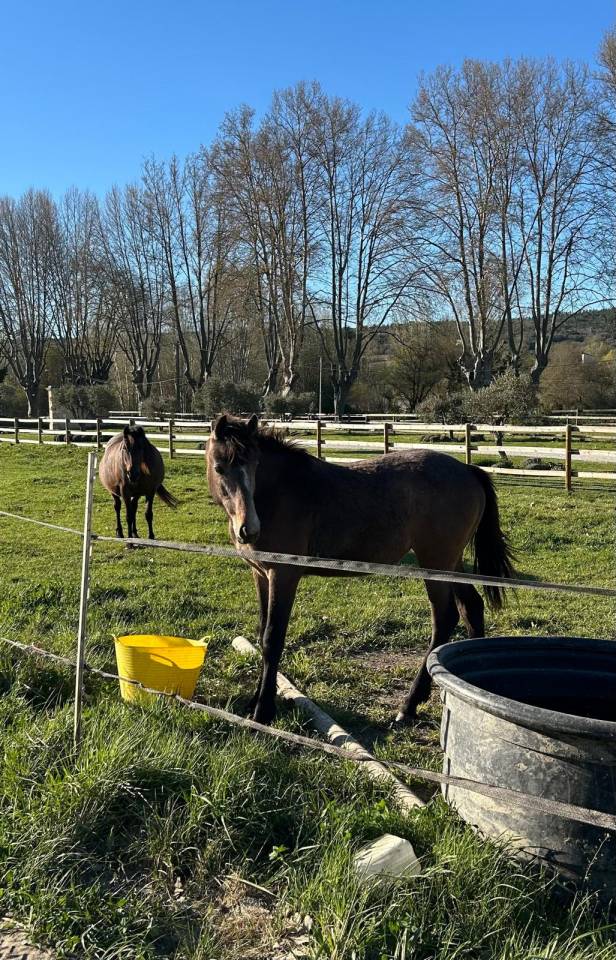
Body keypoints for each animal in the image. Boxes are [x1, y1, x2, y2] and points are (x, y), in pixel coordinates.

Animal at [206, 414, 515, 727]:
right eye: (220, 468)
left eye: (255, 465)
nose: (249, 530)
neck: (280, 492)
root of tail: (467, 470)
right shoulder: (261, 574)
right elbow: (261, 634)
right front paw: (255, 701)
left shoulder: (284, 575)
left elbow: (273, 638)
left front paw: (263, 710)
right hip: (452, 564)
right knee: (471, 608)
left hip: (436, 564)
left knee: (445, 618)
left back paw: (409, 705)